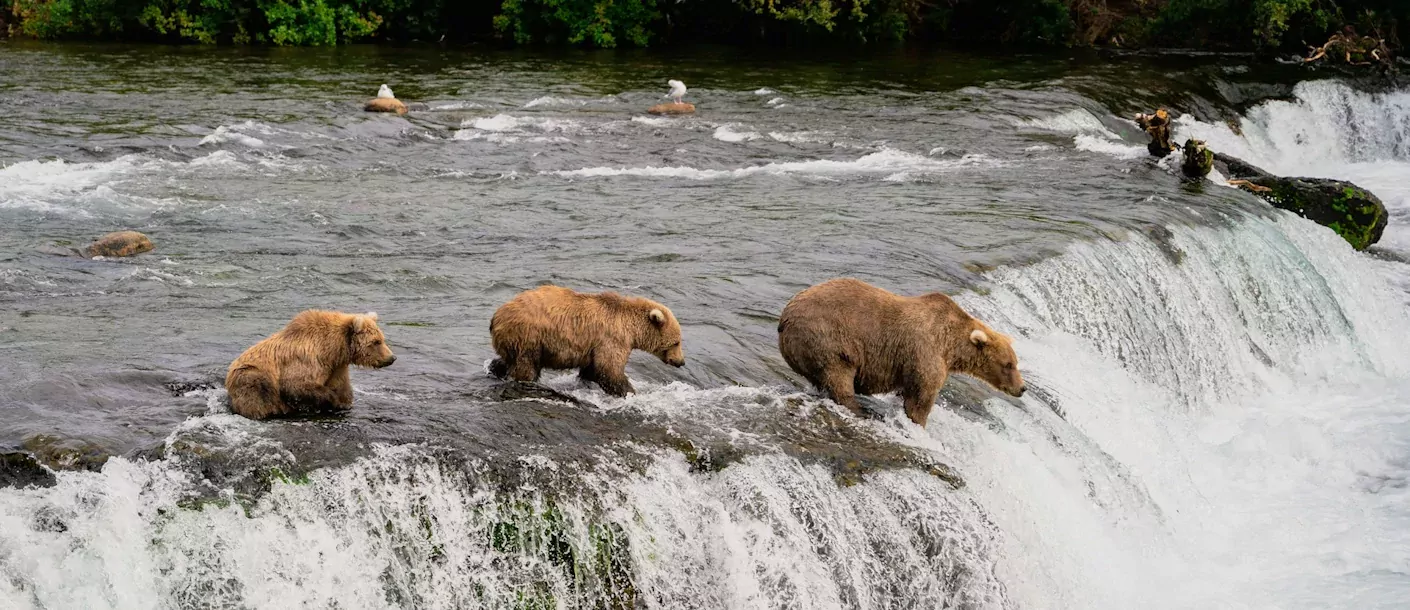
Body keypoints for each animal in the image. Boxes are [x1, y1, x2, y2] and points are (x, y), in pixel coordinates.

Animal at [224, 308, 397, 416]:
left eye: (382, 339)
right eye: (376, 342)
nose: (392, 358)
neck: (334, 349)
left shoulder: (336, 366)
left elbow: (342, 388)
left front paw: (343, 403)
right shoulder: (307, 359)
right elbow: (296, 385)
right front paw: (331, 400)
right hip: (250, 374)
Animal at [490, 284, 688, 394]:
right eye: (676, 342)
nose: (681, 362)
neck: (631, 328)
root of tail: (497, 316)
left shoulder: (594, 346)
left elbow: (592, 369)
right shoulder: (612, 338)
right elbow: (609, 369)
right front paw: (629, 392)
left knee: (508, 360)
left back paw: (495, 369)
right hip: (529, 336)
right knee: (526, 366)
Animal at [778, 277, 1032, 425]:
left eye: (1015, 363)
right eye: (1008, 364)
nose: (1022, 388)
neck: (951, 347)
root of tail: (784, 317)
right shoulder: (925, 352)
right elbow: (921, 398)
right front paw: (918, 422)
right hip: (828, 338)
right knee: (838, 376)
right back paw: (860, 410)